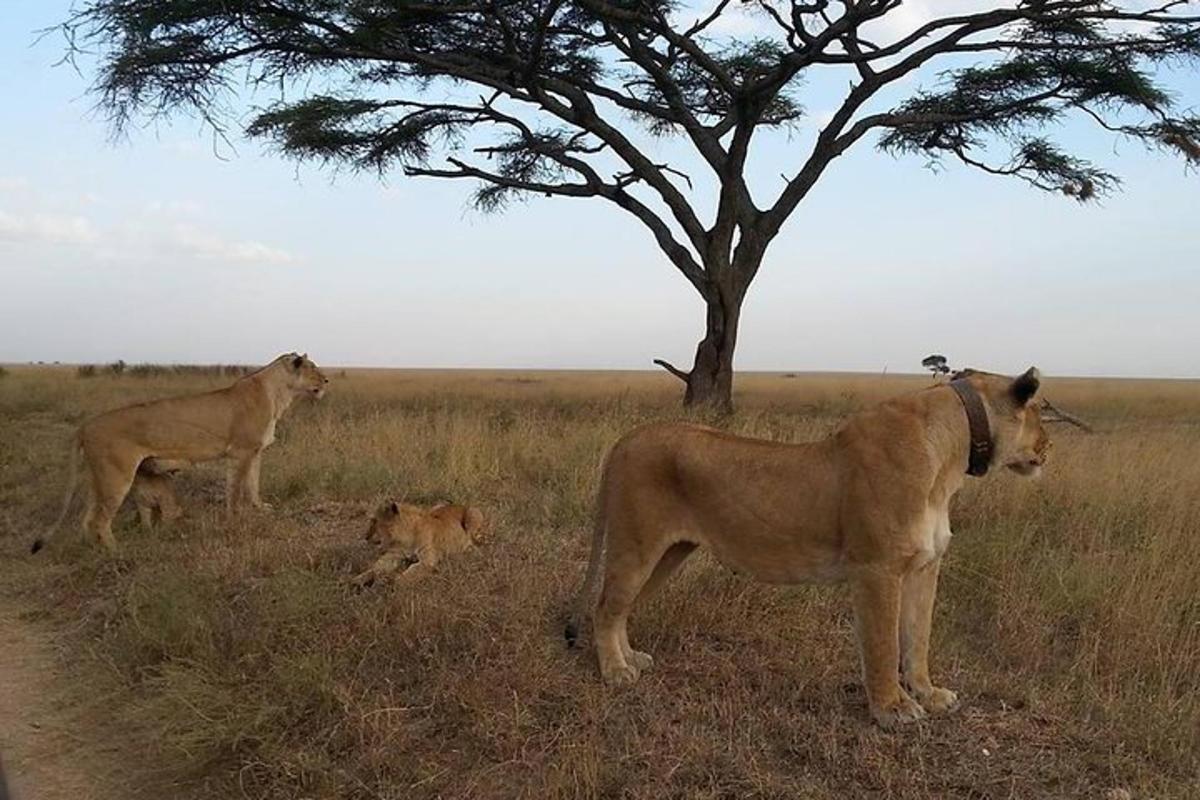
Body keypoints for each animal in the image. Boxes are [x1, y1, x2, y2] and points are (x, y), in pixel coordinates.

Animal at [33, 352, 328, 554]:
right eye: (313, 368)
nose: (326, 380)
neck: (280, 395)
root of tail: (85, 426)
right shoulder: (240, 453)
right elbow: (235, 491)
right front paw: (235, 519)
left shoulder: (254, 453)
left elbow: (253, 485)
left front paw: (261, 508)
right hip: (116, 476)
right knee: (99, 520)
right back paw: (116, 551)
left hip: (99, 478)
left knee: (86, 519)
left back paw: (92, 549)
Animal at [352, 501, 489, 587]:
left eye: (374, 521)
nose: (365, 537)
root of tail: (461, 504)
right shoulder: (393, 556)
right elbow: (375, 568)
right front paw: (356, 580)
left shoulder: (427, 561)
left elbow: (407, 575)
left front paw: (388, 583)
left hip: (472, 515)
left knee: (477, 541)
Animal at [566, 367, 1046, 729]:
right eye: (1041, 414)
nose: (1049, 446)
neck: (951, 457)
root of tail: (627, 438)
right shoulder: (877, 568)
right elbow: (883, 645)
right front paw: (892, 710)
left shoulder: (925, 567)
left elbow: (918, 639)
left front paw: (929, 694)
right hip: (637, 545)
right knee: (606, 607)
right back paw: (615, 672)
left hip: (668, 553)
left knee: (619, 608)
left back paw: (631, 658)